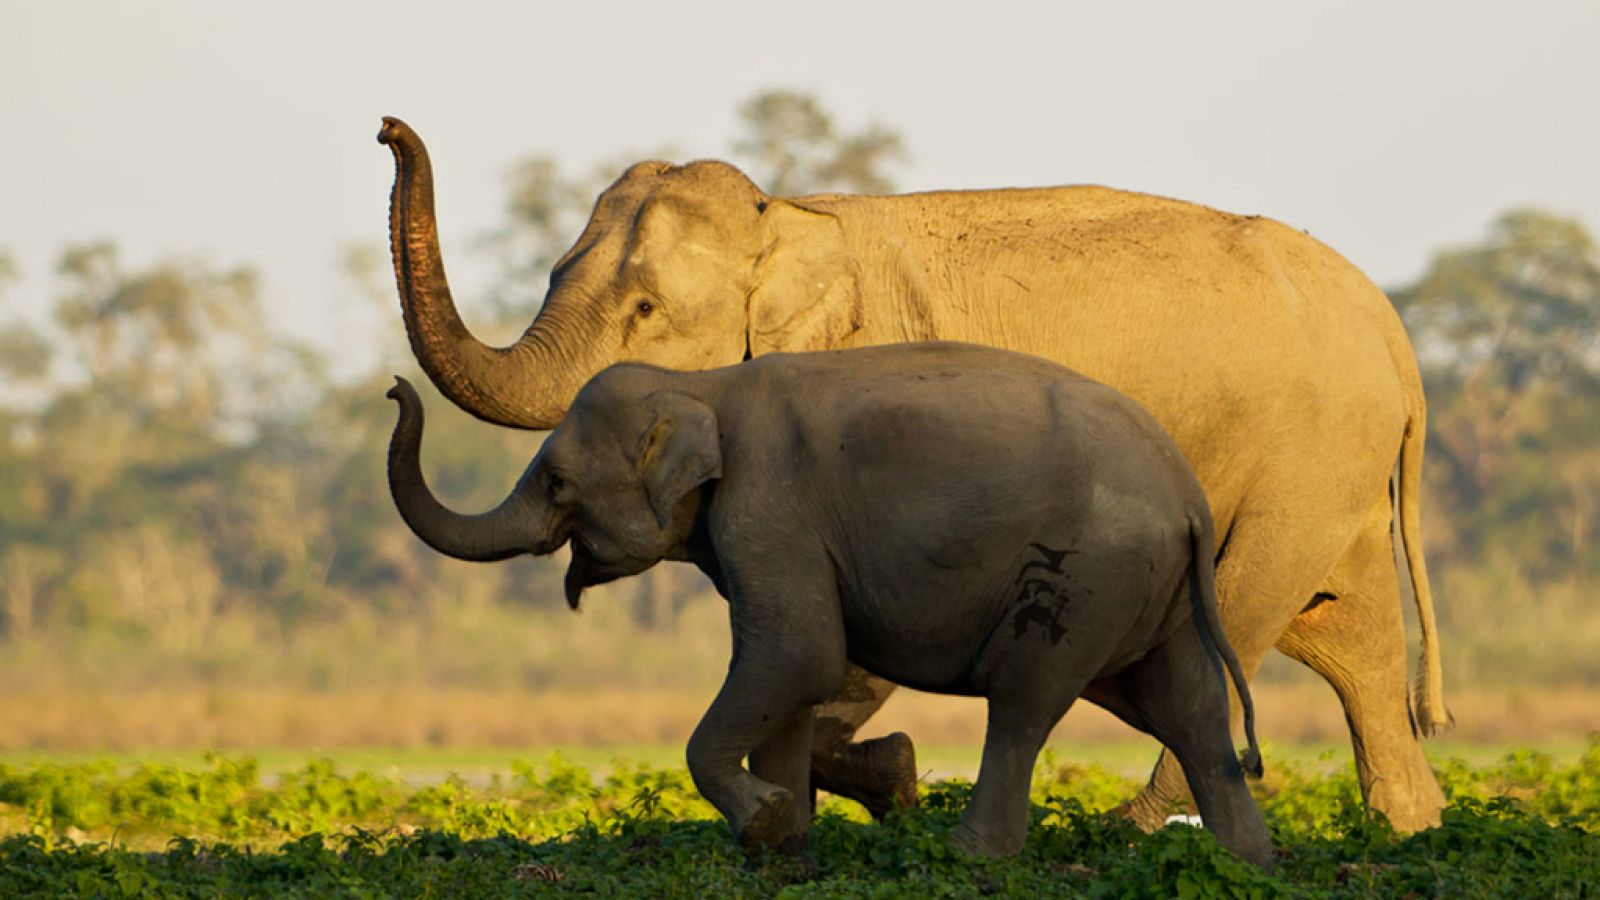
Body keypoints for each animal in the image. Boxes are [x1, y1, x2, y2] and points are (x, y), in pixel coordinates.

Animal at [384, 342, 1275, 867]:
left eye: (556, 481)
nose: (393, 386)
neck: (699, 383)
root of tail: (1188, 494)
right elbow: (792, 674)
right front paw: (786, 849)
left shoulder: (765, 505)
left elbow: (798, 655)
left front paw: (764, 823)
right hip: (1152, 592)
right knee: (1190, 709)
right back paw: (1246, 865)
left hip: (1083, 576)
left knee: (1025, 700)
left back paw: (968, 860)